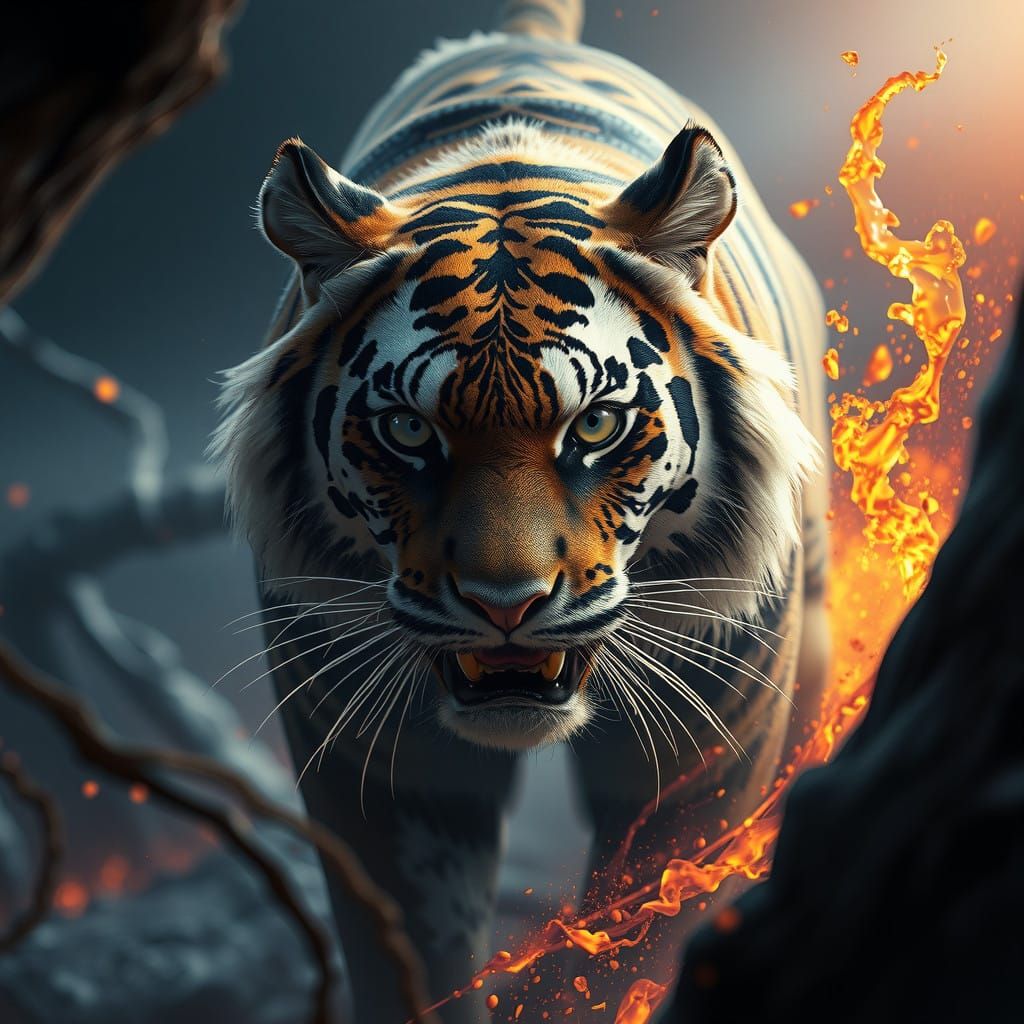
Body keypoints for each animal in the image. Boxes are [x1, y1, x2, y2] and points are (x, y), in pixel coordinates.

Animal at [212, 0, 830, 1018]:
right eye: (407, 429)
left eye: (598, 424)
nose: (506, 605)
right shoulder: (386, 774)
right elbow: (412, 962)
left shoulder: (698, 758)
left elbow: (625, 949)